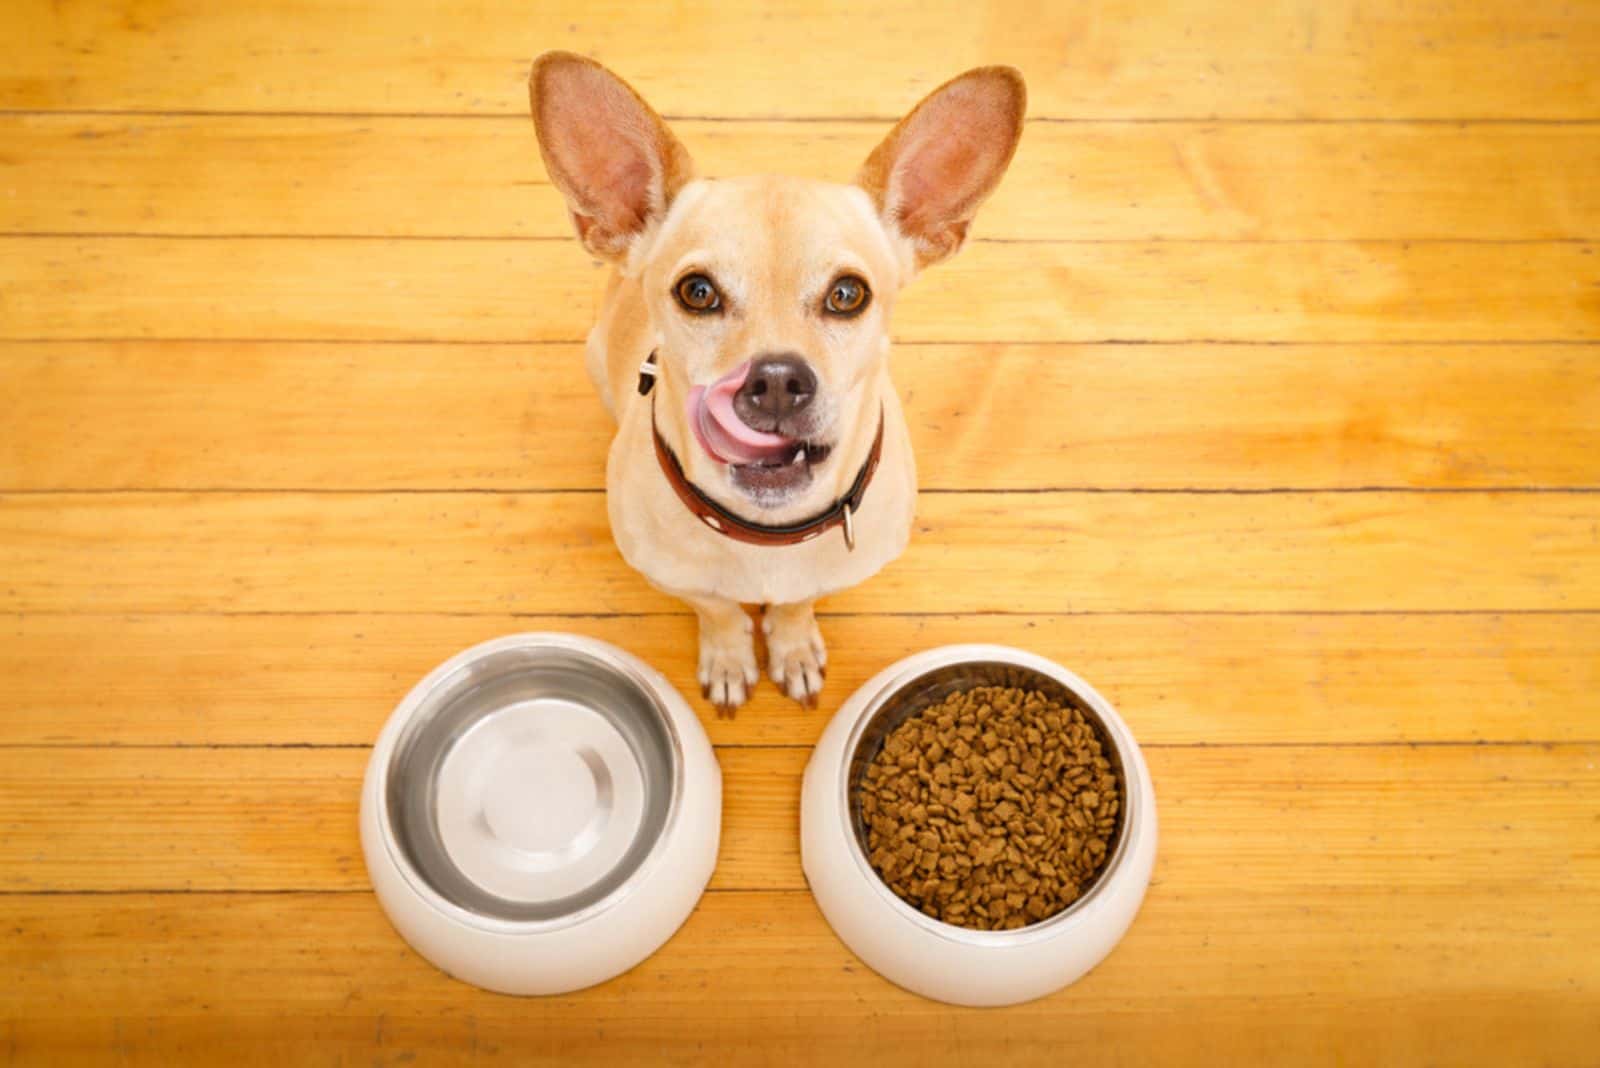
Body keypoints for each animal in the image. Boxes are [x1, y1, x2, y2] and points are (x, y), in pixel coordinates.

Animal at [524, 51, 1024, 716]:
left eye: (848, 295)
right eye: (697, 292)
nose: (779, 380)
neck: (766, 538)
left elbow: (796, 605)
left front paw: (792, 647)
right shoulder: (676, 578)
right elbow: (716, 608)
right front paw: (730, 657)